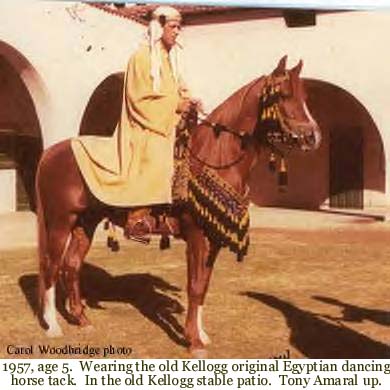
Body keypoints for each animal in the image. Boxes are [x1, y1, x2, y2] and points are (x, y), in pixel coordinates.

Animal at [35, 55, 320, 354]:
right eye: (284, 94)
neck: (212, 156)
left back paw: (82, 319)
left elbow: (203, 285)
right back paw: (53, 326)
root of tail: (50, 152)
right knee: (51, 265)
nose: (313, 136)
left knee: (71, 265)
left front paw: (201, 334)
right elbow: (194, 286)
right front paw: (193, 341)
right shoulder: (196, 236)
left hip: (85, 222)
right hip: (60, 222)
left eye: (305, 95)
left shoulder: (213, 239)